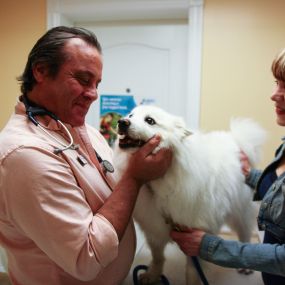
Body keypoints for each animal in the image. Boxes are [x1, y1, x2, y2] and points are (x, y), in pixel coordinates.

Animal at [112, 105, 266, 284]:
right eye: (130, 115)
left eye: (150, 120)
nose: (122, 122)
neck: (160, 182)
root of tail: (235, 141)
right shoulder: (154, 229)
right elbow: (157, 257)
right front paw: (153, 275)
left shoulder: (195, 235)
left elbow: (192, 271)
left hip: (240, 211)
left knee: (245, 233)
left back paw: (245, 266)